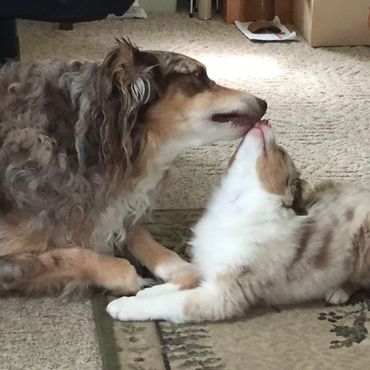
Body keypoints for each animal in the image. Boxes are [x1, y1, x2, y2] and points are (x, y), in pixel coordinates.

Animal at [0, 39, 266, 296]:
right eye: (200, 75)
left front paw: (178, 266)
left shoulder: (113, 208)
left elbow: (137, 231)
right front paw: (127, 277)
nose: (264, 103)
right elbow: (70, 255)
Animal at [106, 120, 370, 320]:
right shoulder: (211, 262)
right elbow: (186, 280)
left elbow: (175, 302)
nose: (265, 120)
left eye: (281, 152)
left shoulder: (223, 294)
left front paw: (123, 306)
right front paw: (148, 292)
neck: (237, 203)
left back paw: (338, 291)